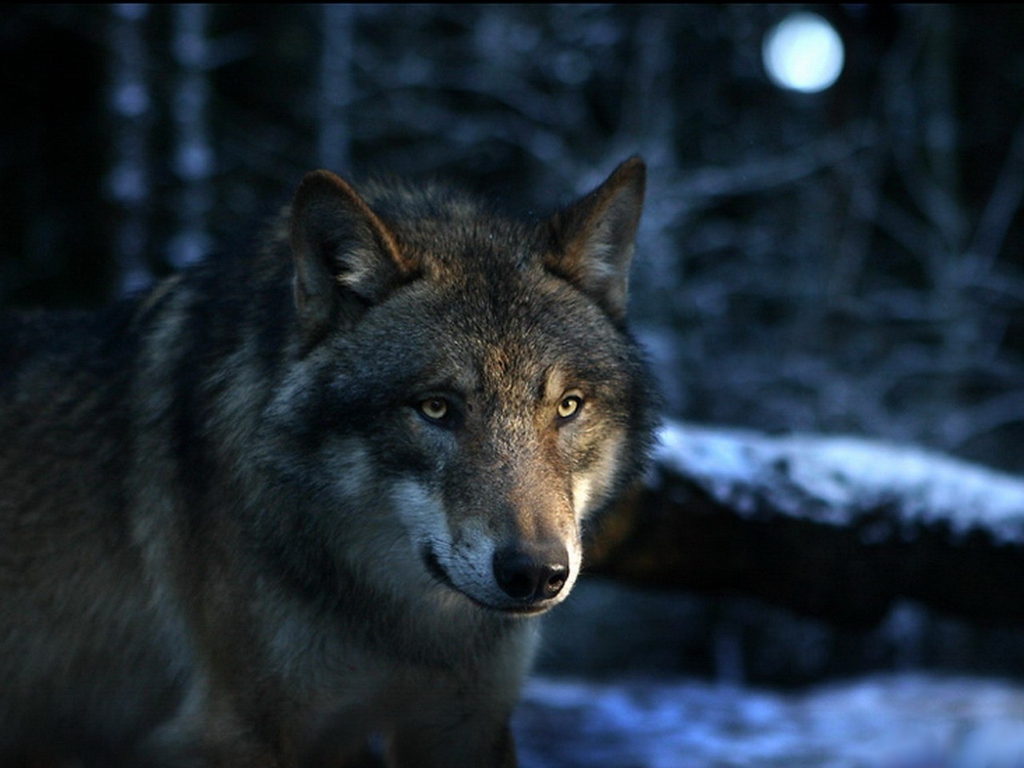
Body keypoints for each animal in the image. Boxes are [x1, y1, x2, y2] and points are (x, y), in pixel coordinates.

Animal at [0, 154, 655, 765]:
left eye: (568, 406)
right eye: (436, 408)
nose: (537, 574)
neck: (406, 625)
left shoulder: (466, 725)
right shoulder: (234, 735)